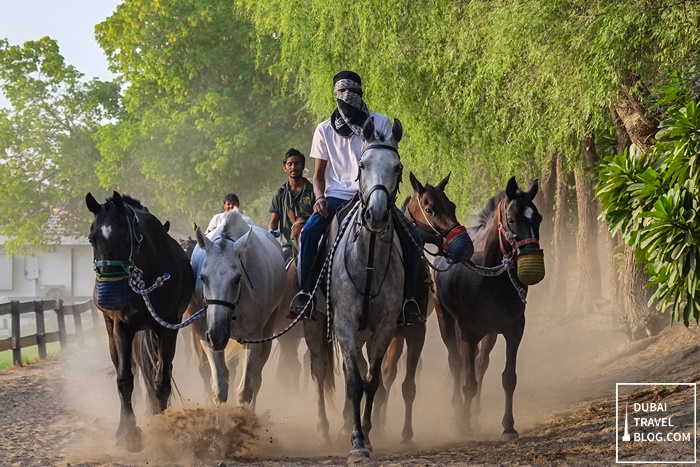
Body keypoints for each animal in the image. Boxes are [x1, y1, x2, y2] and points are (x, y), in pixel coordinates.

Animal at [86, 192, 194, 452]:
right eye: (91, 238)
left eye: (124, 236)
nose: (108, 294)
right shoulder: (123, 327)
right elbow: (125, 379)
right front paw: (129, 434)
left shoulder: (167, 328)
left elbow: (161, 379)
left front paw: (161, 427)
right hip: (113, 330)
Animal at [190, 210, 286, 408]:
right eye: (202, 277)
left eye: (237, 279)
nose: (217, 335)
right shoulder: (206, 337)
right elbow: (220, 388)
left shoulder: (254, 338)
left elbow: (245, 390)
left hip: (268, 331)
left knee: (256, 378)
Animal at [434, 177, 544, 440]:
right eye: (512, 219)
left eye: (538, 218)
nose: (531, 258)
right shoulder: (469, 332)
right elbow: (468, 381)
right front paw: (462, 423)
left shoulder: (514, 329)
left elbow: (508, 378)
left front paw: (508, 426)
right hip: (446, 320)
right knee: (456, 362)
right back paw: (458, 410)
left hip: (490, 333)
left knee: (481, 363)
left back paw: (474, 412)